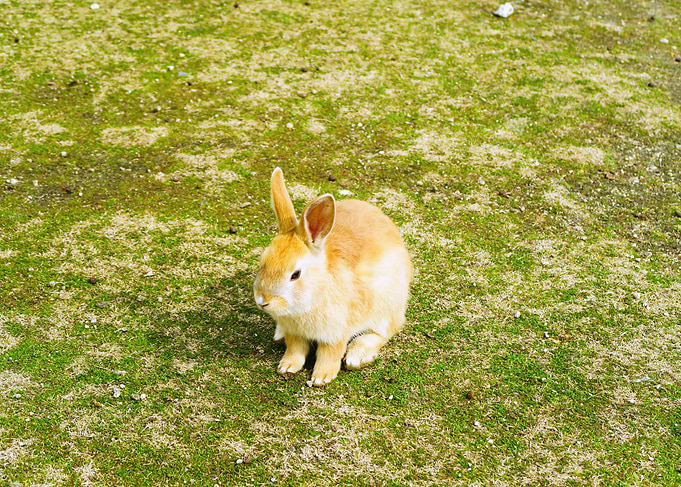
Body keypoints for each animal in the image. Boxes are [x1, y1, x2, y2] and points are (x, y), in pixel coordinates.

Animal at [253, 168, 413, 386]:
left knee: (385, 330)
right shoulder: (295, 333)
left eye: (296, 274)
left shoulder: (336, 332)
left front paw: (322, 377)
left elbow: (330, 353)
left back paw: (357, 356)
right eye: (263, 261)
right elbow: (295, 348)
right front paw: (287, 366)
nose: (263, 300)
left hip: (387, 301)